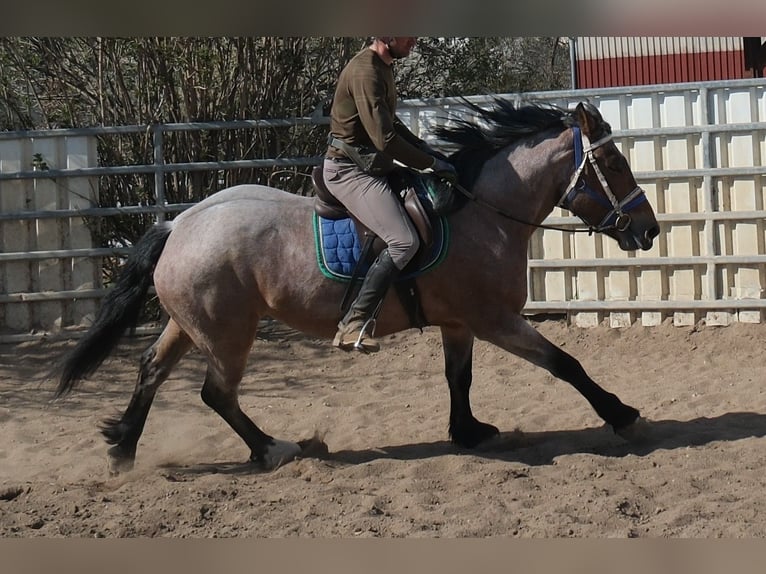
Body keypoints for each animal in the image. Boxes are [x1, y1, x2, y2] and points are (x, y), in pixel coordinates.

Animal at [54, 100, 660, 473]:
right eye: (611, 161)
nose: (648, 229)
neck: (479, 214)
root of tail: (180, 223)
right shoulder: (495, 320)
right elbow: (565, 365)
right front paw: (622, 414)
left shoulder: (460, 323)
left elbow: (458, 379)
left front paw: (468, 432)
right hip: (227, 333)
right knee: (216, 393)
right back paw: (274, 449)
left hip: (190, 324)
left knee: (151, 371)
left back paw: (123, 448)